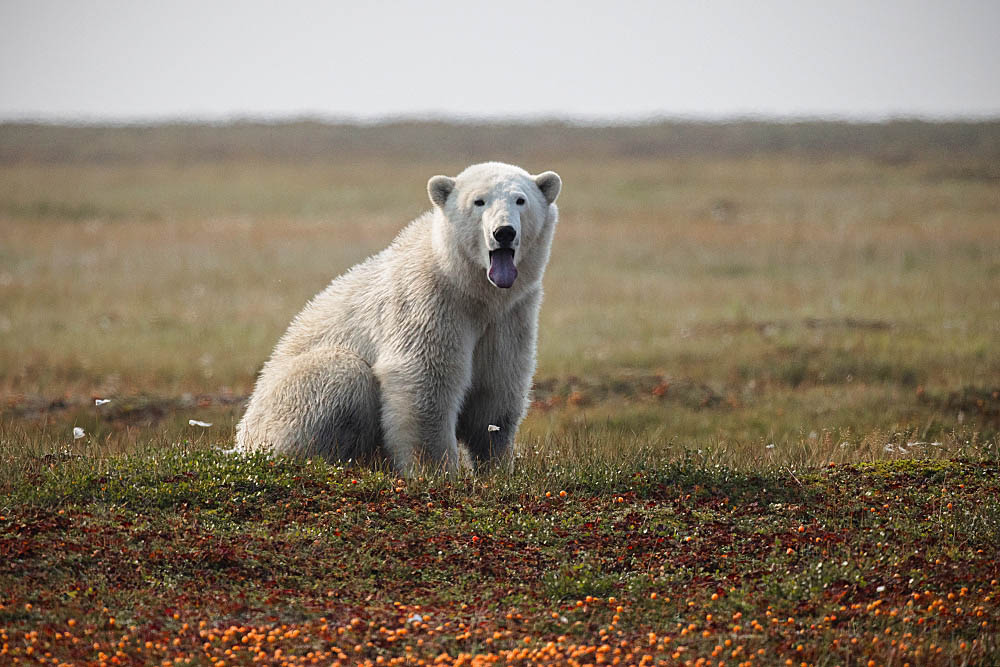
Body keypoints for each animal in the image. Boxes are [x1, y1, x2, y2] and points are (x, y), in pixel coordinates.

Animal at [236, 164, 564, 472]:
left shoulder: (512, 315)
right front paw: (437, 471)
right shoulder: (428, 302)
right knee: (344, 375)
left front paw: (497, 466)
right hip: (283, 404)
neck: (472, 290)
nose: (504, 232)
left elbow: (497, 390)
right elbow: (424, 380)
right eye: (478, 201)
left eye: (520, 200)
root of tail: (242, 436)